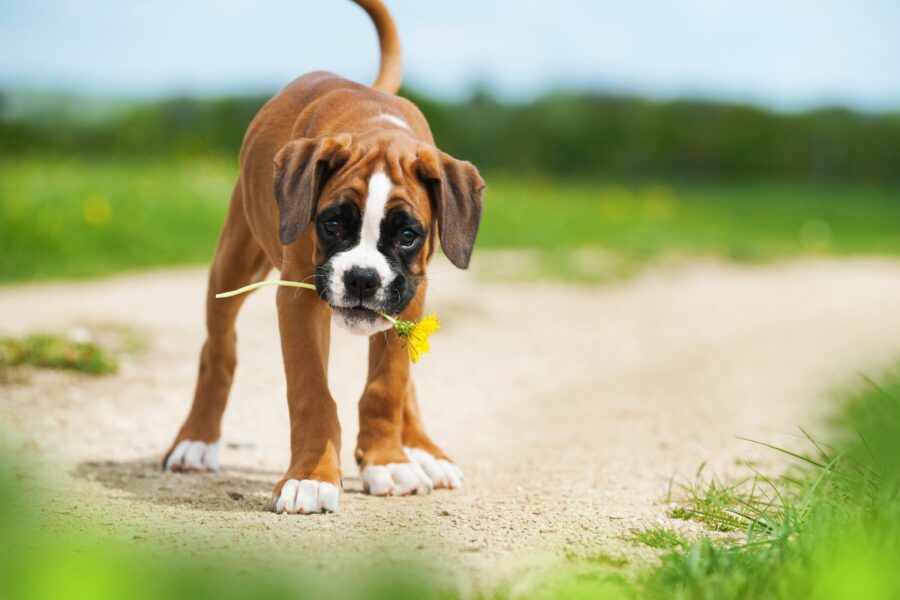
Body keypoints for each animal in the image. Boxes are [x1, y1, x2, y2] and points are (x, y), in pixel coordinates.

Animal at [162, 1, 486, 516]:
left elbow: (389, 384)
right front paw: (312, 477)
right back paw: (196, 441)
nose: (362, 279)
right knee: (218, 350)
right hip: (234, 260)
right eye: (332, 224)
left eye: (408, 235)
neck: (375, 127)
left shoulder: (410, 298)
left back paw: (423, 451)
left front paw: (388, 461)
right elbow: (311, 391)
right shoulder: (298, 302)